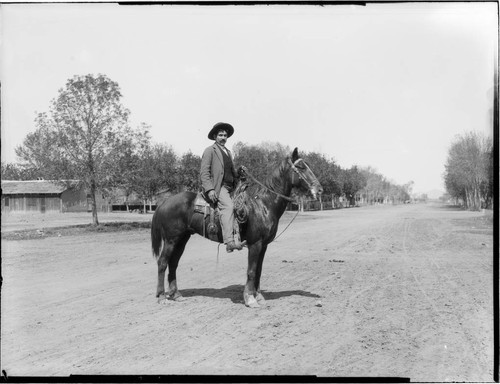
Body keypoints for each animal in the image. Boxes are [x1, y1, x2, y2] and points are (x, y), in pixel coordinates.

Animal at [150, 146, 324, 308]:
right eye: (301, 167)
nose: (319, 189)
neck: (263, 205)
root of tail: (164, 202)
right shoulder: (255, 244)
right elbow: (251, 271)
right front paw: (250, 298)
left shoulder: (264, 245)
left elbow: (259, 270)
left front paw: (258, 296)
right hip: (171, 240)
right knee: (162, 263)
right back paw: (162, 296)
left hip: (182, 239)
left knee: (173, 263)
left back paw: (176, 294)